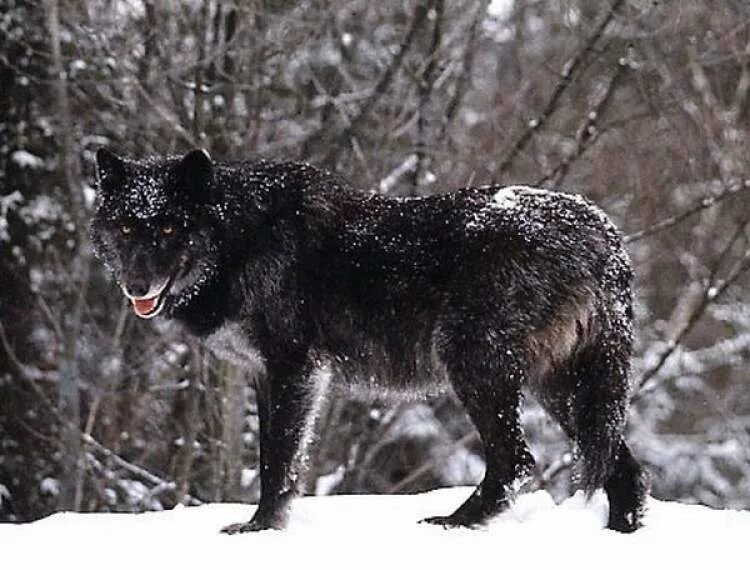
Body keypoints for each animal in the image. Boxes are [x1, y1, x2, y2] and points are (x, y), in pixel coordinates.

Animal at [91, 149, 648, 532]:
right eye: (126, 227)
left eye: (168, 227)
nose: (136, 286)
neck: (241, 238)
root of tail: (603, 230)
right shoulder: (266, 375)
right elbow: (278, 458)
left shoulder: (294, 369)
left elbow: (278, 461)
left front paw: (260, 529)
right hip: (560, 389)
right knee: (624, 468)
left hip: (475, 365)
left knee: (517, 460)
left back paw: (454, 524)